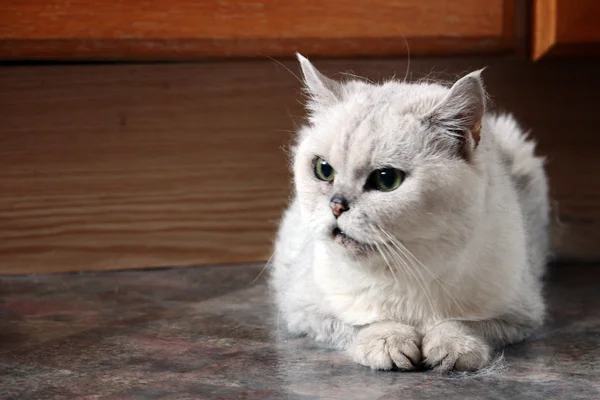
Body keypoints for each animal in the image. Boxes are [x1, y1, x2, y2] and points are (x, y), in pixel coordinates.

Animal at [270, 54, 552, 372]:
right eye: (323, 170)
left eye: (386, 179)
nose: (336, 205)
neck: (406, 267)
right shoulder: (302, 309)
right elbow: (366, 323)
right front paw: (390, 343)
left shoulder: (521, 315)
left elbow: (462, 324)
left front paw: (450, 347)